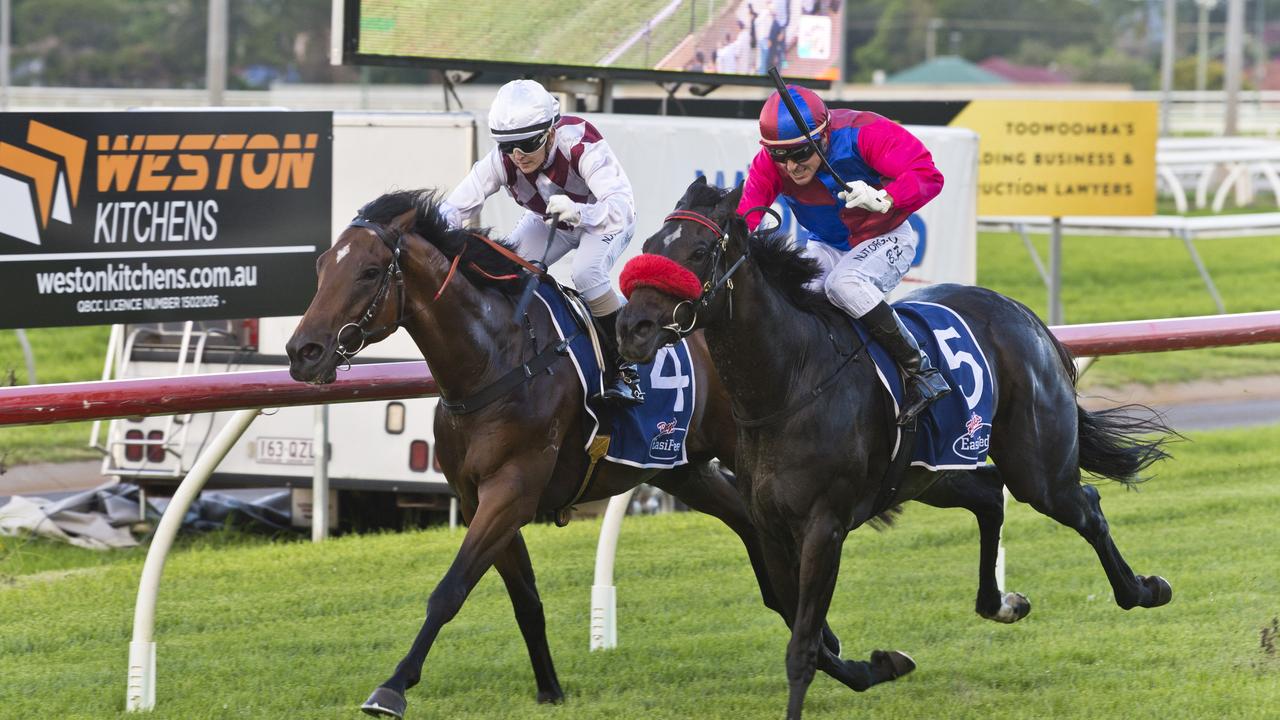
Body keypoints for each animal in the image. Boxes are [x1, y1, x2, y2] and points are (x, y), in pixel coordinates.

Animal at [288, 188, 1018, 712]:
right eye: (321, 267)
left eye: (371, 271)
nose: (304, 351)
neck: (497, 360)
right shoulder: (478, 497)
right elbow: (521, 597)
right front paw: (549, 688)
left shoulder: (513, 489)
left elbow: (449, 590)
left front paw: (392, 687)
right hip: (693, 472)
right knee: (769, 560)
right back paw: (858, 660)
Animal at [614, 175, 1172, 717]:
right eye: (649, 246)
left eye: (700, 251)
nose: (631, 328)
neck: (791, 380)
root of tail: (1023, 313)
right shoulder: (770, 526)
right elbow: (802, 628)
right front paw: (882, 664)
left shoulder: (824, 526)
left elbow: (803, 647)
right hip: (930, 471)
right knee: (989, 494)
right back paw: (1002, 604)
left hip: (1036, 466)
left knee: (1085, 506)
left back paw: (1144, 589)